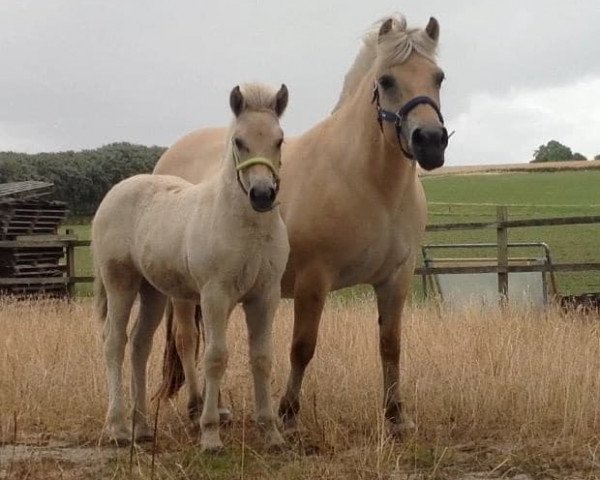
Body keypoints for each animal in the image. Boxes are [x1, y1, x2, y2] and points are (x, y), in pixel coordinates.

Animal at [92, 82, 290, 450]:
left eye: (279, 139)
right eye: (238, 141)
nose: (262, 195)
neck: (248, 228)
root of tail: (116, 191)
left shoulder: (265, 296)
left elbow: (262, 358)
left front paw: (271, 433)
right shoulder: (215, 295)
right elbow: (215, 357)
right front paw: (210, 433)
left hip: (153, 292)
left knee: (140, 344)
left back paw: (143, 428)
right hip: (120, 283)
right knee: (114, 342)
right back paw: (118, 428)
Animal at [155, 14, 446, 436]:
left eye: (438, 77)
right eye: (387, 80)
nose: (431, 141)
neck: (367, 183)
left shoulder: (396, 278)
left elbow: (390, 345)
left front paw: (396, 417)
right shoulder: (314, 280)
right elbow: (302, 347)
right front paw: (288, 415)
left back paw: (220, 408)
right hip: (185, 292)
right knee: (187, 339)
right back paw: (197, 409)